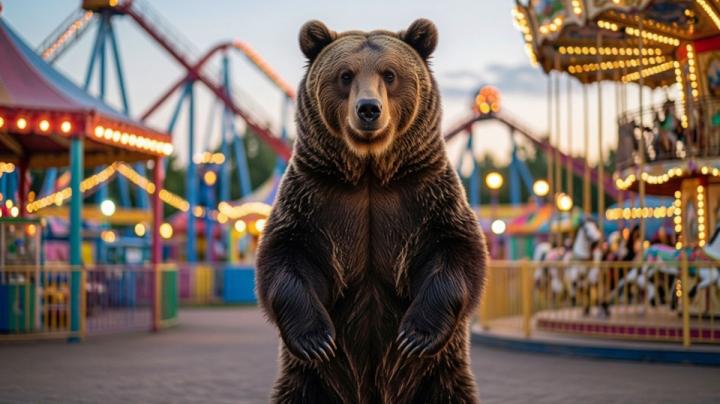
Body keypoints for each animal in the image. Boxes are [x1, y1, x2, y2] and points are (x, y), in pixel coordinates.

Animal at [255, 19, 487, 404]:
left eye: (389, 74)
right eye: (345, 75)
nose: (368, 109)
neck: (369, 172)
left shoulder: (426, 195)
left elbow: (455, 251)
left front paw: (414, 336)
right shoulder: (313, 199)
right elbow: (287, 255)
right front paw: (317, 340)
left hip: (440, 376)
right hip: (308, 381)